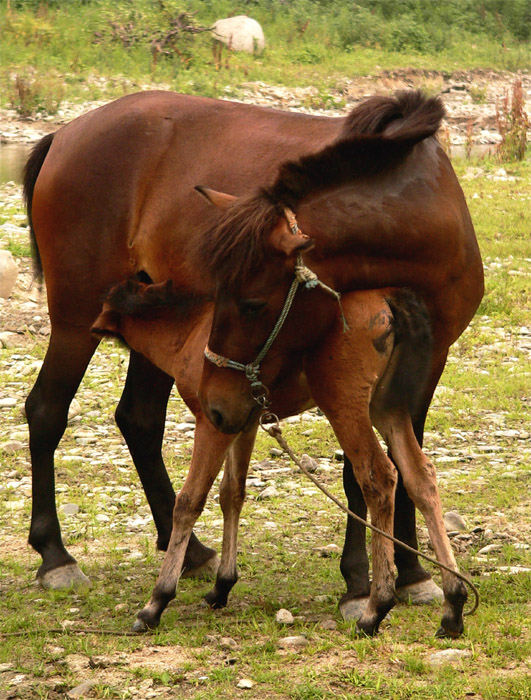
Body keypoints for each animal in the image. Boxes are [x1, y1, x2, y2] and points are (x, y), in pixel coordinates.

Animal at [22, 89, 438, 600]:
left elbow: (210, 491)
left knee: (112, 416)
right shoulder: (241, 414)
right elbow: (233, 489)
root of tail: (64, 135)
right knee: (58, 412)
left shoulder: (225, 417)